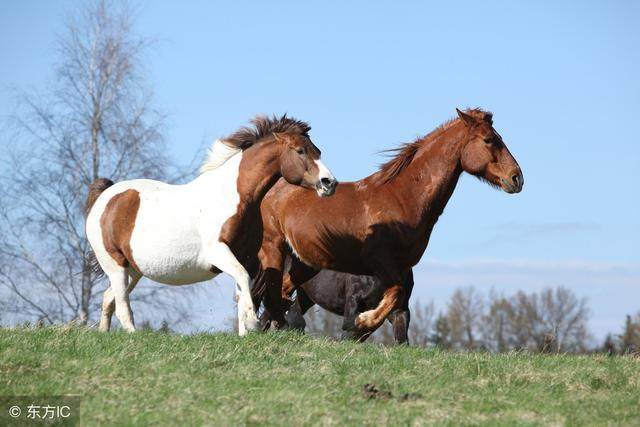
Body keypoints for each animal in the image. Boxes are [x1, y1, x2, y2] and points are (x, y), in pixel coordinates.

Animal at [85, 115, 338, 336]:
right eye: (300, 150)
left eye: (318, 151)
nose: (329, 183)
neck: (233, 197)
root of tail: (106, 197)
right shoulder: (218, 253)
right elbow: (243, 280)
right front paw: (252, 323)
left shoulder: (245, 257)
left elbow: (242, 289)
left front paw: (244, 333)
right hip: (115, 264)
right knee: (122, 306)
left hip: (133, 269)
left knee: (108, 298)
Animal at [284, 270, 416, 344]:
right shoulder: (353, 300)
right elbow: (358, 323)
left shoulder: (400, 309)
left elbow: (400, 331)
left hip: (306, 294)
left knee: (294, 310)